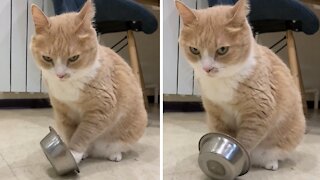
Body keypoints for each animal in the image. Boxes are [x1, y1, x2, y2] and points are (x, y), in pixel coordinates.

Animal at [30, 0, 148, 163]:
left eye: (74, 58)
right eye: (47, 58)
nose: (60, 75)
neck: (70, 85)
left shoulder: (100, 110)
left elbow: (83, 133)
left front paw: (73, 153)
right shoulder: (63, 112)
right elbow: (71, 133)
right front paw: (72, 152)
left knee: (117, 146)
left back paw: (114, 154)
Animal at [175, 0, 304, 170]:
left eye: (222, 50)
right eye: (194, 50)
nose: (207, 69)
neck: (223, 80)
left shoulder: (257, 113)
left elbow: (245, 141)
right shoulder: (217, 114)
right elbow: (224, 133)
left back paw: (270, 163)